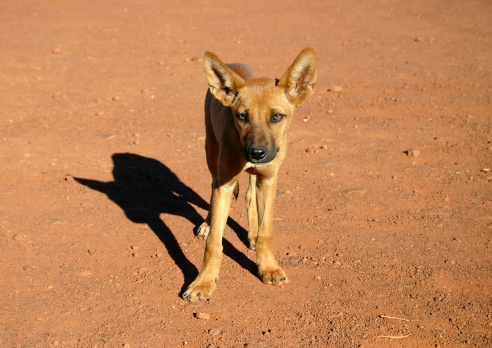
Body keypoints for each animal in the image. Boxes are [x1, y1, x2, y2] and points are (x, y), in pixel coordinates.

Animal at [183, 47, 318, 300]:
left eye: (277, 116)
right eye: (242, 116)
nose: (256, 153)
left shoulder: (269, 179)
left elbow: (267, 231)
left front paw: (269, 268)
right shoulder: (225, 183)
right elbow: (214, 243)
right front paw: (204, 281)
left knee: (249, 196)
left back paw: (252, 233)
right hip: (210, 152)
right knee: (213, 186)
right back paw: (207, 224)